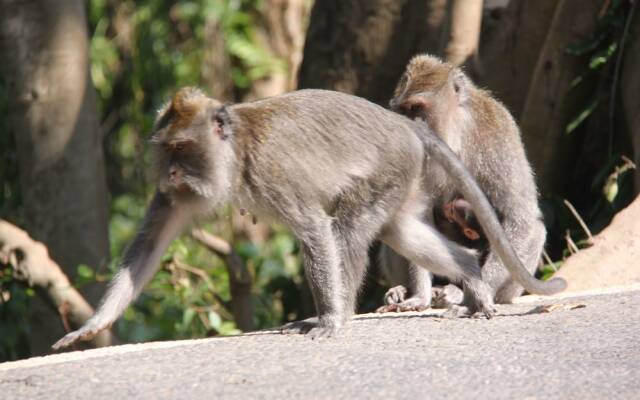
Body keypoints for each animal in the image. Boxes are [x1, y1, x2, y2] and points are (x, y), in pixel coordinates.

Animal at [53, 86, 564, 346]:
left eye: (183, 148)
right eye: (166, 150)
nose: (171, 172)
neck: (235, 152)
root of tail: (405, 124)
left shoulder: (273, 173)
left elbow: (315, 230)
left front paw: (329, 320)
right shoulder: (174, 197)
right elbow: (147, 249)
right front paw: (91, 326)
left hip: (389, 167)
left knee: (350, 230)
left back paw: (343, 314)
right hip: (404, 179)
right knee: (399, 231)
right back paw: (471, 278)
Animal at [382, 54, 548, 310]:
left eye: (416, 108)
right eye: (402, 111)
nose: (408, 128)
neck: (456, 134)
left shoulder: (498, 135)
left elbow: (519, 217)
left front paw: (473, 292)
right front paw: (419, 295)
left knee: (535, 229)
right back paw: (402, 289)